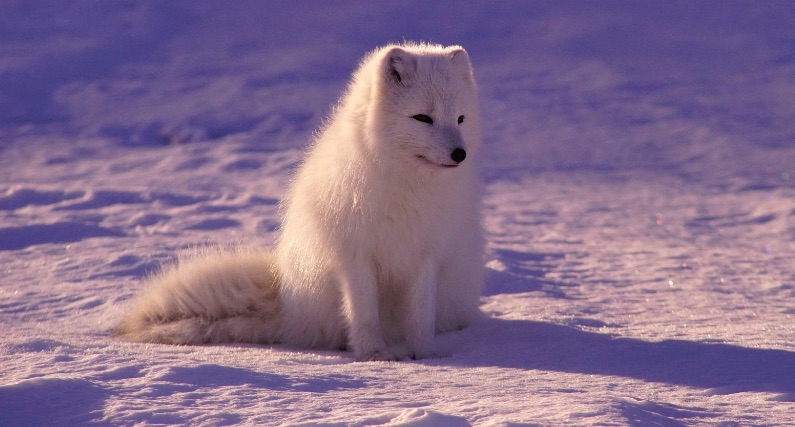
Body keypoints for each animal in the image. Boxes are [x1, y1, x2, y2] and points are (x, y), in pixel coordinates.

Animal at [113, 43, 486, 362]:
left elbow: (420, 315)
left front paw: (424, 355)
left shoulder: (427, 255)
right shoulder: (355, 256)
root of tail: (288, 305)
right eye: (422, 118)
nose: (460, 154)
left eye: (460, 119)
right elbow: (364, 313)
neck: (407, 186)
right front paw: (374, 355)